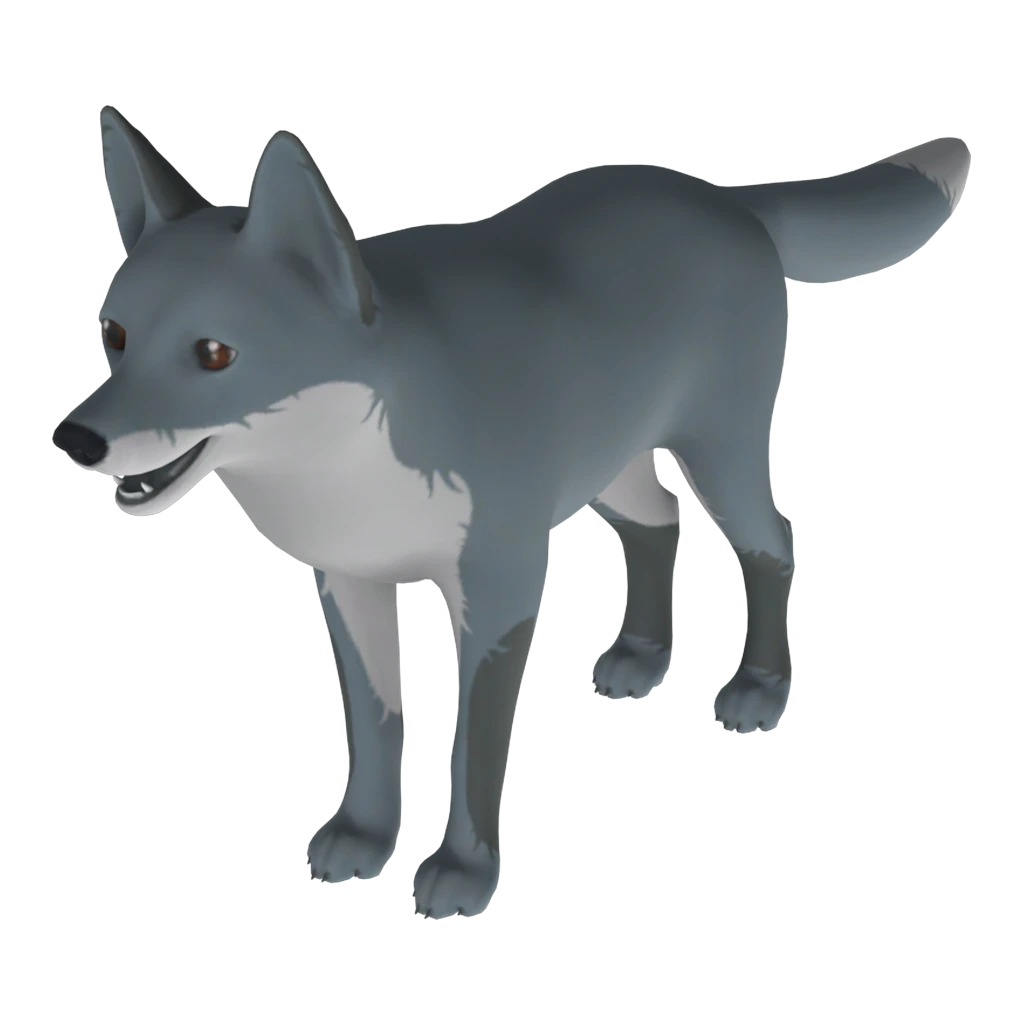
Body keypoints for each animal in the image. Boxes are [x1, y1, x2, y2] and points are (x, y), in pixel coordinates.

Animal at [54, 108, 969, 917]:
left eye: (215, 354)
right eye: (115, 336)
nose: (77, 440)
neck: (361, 454)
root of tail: (721, 198)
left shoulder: (498, 597)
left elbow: (470, 753)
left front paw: (464, 874)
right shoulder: (350, 586)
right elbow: (379, 731)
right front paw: (363, 838)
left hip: (721, 456)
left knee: (775, 543)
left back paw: (760, 689)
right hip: (608, 469)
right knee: (656, 523)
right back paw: (642, 655)